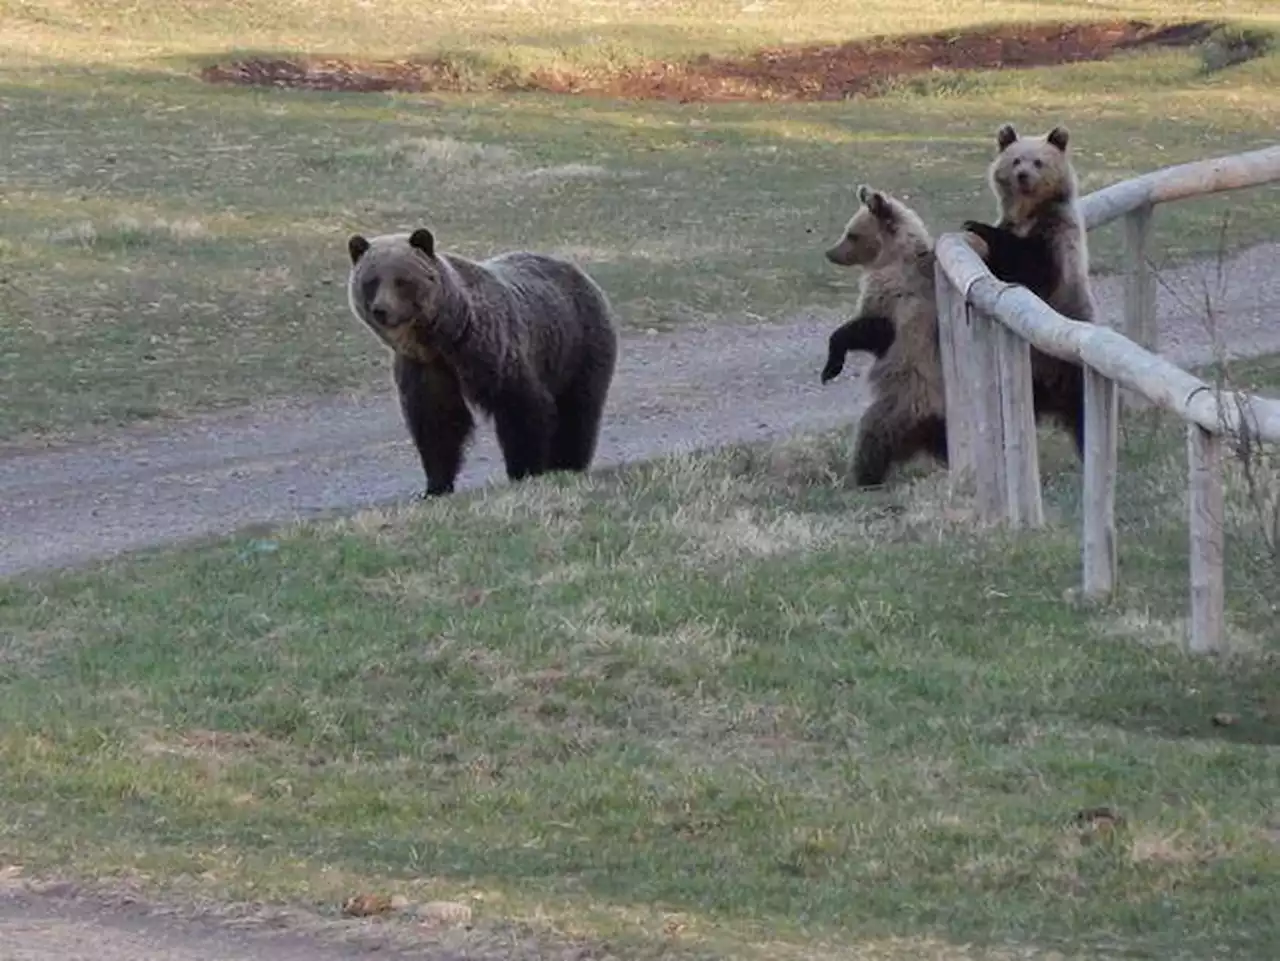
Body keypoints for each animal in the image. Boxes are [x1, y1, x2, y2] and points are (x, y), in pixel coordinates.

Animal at [343, 227, 616, 496]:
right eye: (371, 281)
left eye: (402, 281)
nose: (382, 309)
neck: (444, 338)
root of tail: (577, 271)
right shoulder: (426, 367)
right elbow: (437, 423)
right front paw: (435, 486)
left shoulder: (494, 351)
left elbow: (522, 408)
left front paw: (524, 471)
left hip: (578, 344)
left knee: (578, 408)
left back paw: (569, 463)